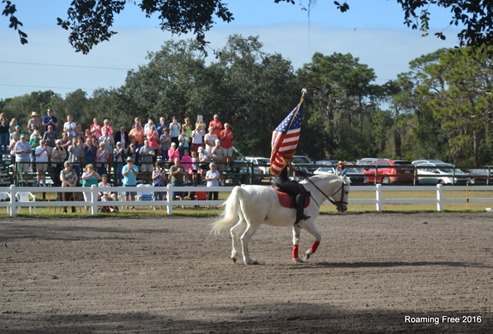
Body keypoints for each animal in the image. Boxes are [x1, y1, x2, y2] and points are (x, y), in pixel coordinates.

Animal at [211, 174, 350, 264]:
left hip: (244, 221)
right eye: (347, 191)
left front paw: (296, 258)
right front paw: (308, 253)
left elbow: (295, 240)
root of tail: (243, 189)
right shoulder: (307, 223)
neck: (313, 192)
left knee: (233, 232)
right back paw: (248, 260)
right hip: (254, 223)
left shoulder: (297, 224)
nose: (344, 208)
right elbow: (319, 236)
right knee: (244, 238)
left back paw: (234, 256)